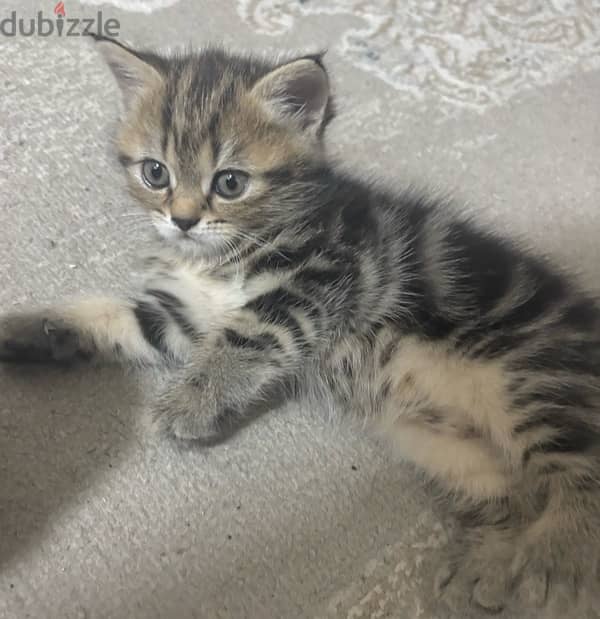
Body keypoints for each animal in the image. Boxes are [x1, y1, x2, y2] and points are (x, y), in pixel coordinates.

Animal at [1, 36, 600, 616]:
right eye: (155, 173)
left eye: (231, 182)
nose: (184, 220)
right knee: (510, 496)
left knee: (581, 465)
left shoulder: (330, 271)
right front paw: (36, 329)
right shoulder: (182, 318)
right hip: (444, 446)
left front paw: (190, 402)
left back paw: (552, 558)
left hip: (531, 376)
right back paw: (488, 566)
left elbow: (247, 334)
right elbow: (122, 318)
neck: (219, 259)